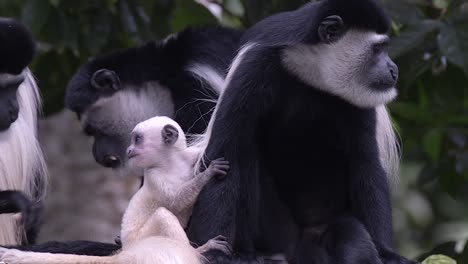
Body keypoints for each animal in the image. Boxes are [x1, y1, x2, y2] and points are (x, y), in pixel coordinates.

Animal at [0, 116, 230, 264]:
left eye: (137, 139)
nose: (129, 150)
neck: (170, 163)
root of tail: (127, 251)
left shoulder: (188, 158)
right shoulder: (154, 176)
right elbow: (175, 201)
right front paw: (209, 174)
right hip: (143, 238)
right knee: (163, 215)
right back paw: (199, 250)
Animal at [188, 0, 418, 264]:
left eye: (385, 48)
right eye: (378, 49)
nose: (394, 69)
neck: (312, 70)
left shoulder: (361, 100)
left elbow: (366, 165)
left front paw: (388, 253)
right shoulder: (253, 69)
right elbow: (227, 155)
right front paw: (214, 253)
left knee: (350, 231)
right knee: (246, 153)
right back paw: (250, 254)